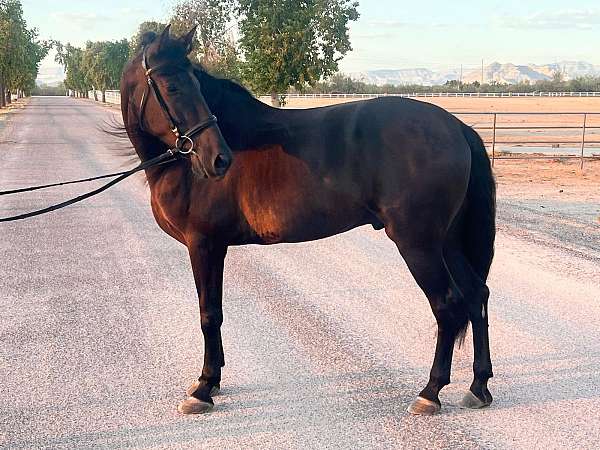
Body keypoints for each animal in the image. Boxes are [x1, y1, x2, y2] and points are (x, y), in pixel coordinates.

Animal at [120, 27, 496, 414]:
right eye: (172, 86)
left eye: (193, 83)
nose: (218, 159)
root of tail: (457, 127)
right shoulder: (214, 248)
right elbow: (215, 310)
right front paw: (214, 378)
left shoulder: (204, 245)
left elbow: (209, 314)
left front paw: (204, 387)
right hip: (447, 242)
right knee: (476, 294)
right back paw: (479, 386)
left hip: (418, 243)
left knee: (447, 304)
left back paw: (430, 392)